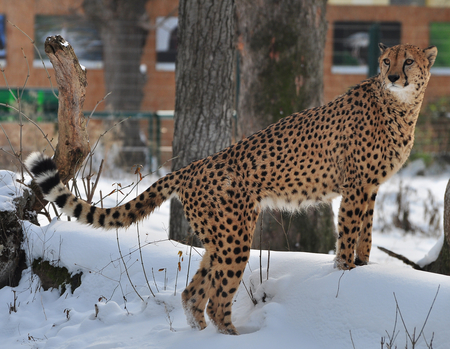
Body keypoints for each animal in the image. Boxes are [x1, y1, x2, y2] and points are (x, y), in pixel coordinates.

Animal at [26, 43, 438, 334]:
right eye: (386, 61)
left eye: (408, 61)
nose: (394, 76)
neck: (399, 107)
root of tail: (193, 166)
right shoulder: (355, 186)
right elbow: (349, 231)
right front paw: (345, 272)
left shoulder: (369, 187)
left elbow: (365, 232)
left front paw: (364, 268)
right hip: (236, 236)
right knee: (216, 300)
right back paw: (233, 337)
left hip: (220, 237)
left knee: (193, 293)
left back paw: (200, 334)